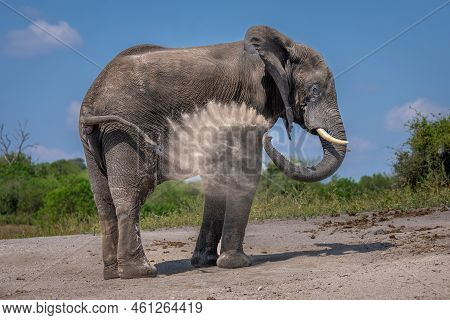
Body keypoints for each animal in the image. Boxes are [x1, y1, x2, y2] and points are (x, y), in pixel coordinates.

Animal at [79, 25, 348, 280]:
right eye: (315, 90)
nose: (270, 138)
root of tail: (90, 102)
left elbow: (217, 180)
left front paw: (206, 262)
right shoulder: (247, 103)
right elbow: (245, 172)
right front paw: (238, 263)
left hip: (96, 140)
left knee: (104, 200)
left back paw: (113, 274)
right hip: (124, 129)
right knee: (132, 193)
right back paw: (141, 272)